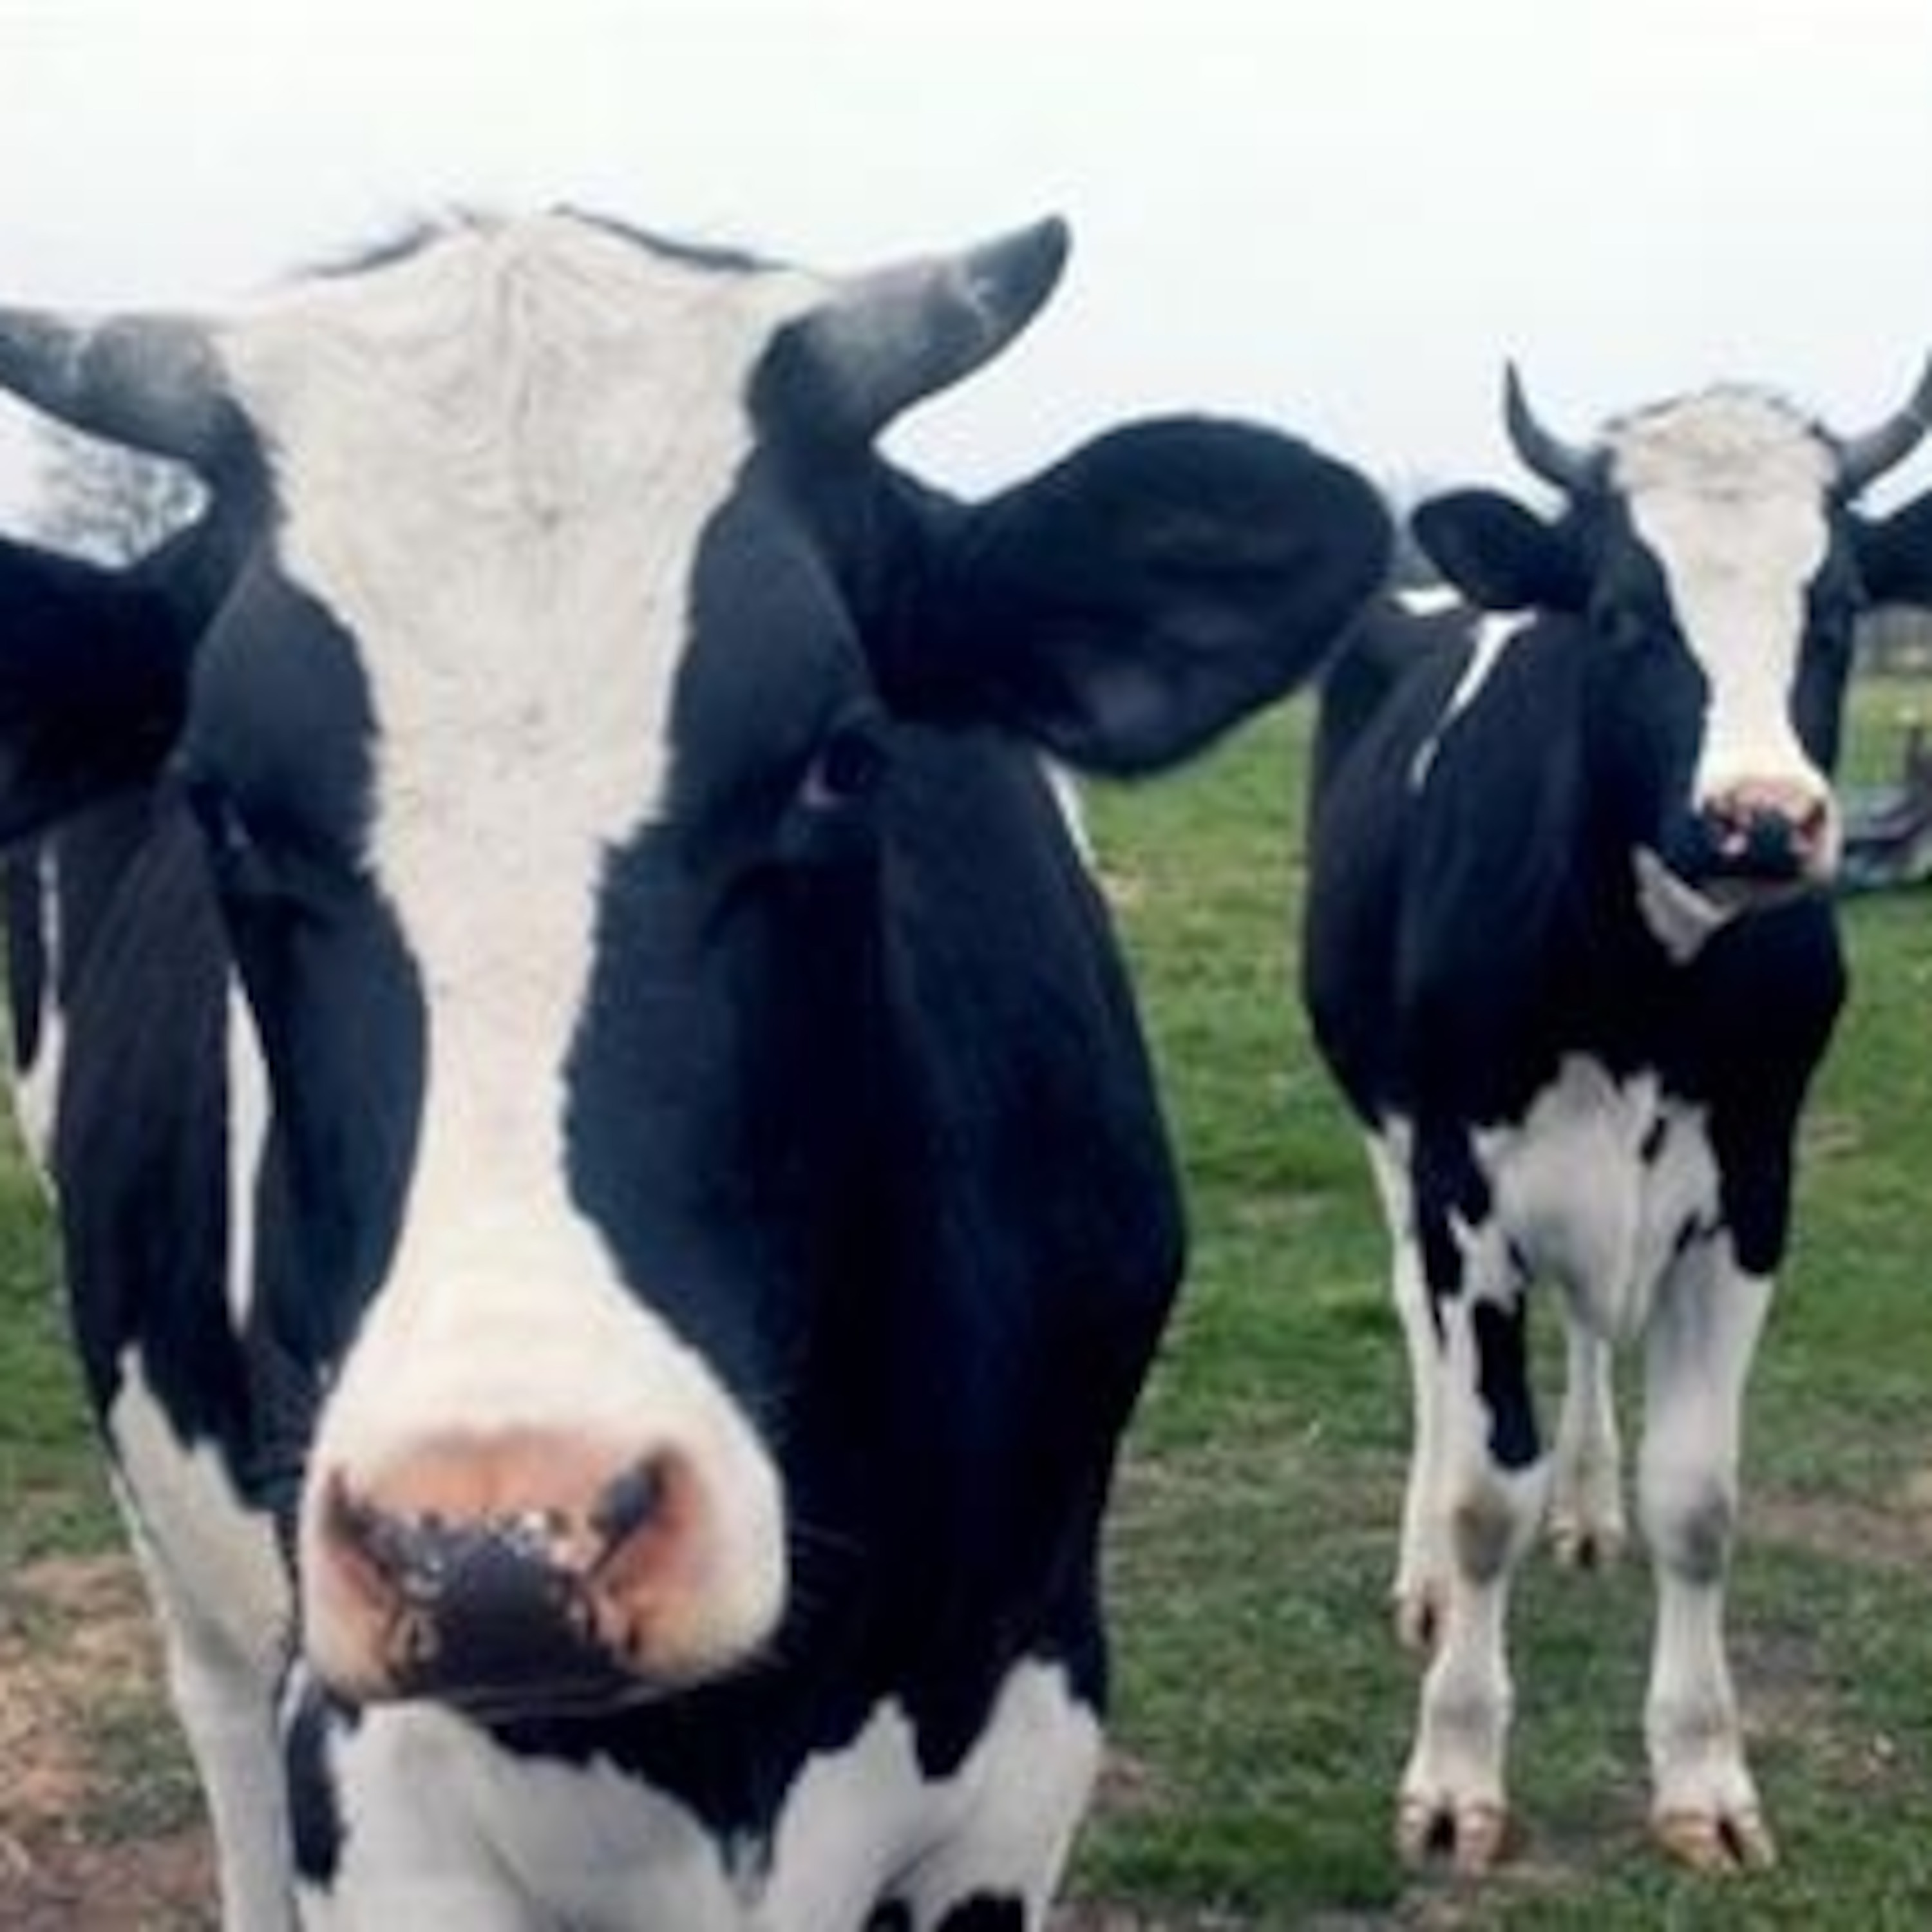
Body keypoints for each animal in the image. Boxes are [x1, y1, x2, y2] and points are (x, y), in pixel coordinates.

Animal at [1298, 359, 1932, 1870]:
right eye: (1630, 613)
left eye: (1835, 610)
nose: (1761, 820)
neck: (1646, 991)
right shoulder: (1468, 1194)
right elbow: (1486, 1492)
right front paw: (1455, 1773)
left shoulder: (1751, 1190)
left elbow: (1700, 1501)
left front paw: (1705, 1780)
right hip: (1395, 1142)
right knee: (1424, 1347)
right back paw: (1424, 1575)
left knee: (1589, 1334)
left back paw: (1587, 1510)